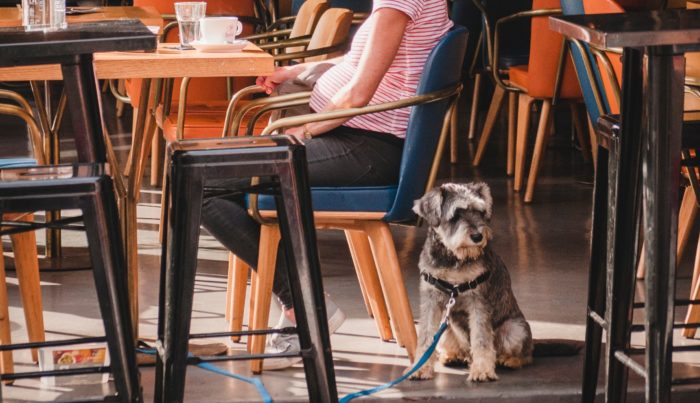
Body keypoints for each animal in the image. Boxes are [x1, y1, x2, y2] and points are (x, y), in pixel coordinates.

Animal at [408, 181, 532, 384]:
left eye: (480, 212)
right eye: (456, 215)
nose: (478, 236)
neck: (453, 258)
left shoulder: (478, 301)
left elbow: (481, 339)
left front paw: (482, 371)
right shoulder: (431, 300)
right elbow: (425, 336)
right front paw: (420, 368)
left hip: (514, 329)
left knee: (526, 355)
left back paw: (510, 360)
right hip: (445, 326)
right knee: (462, 350)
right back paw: (454, 356)